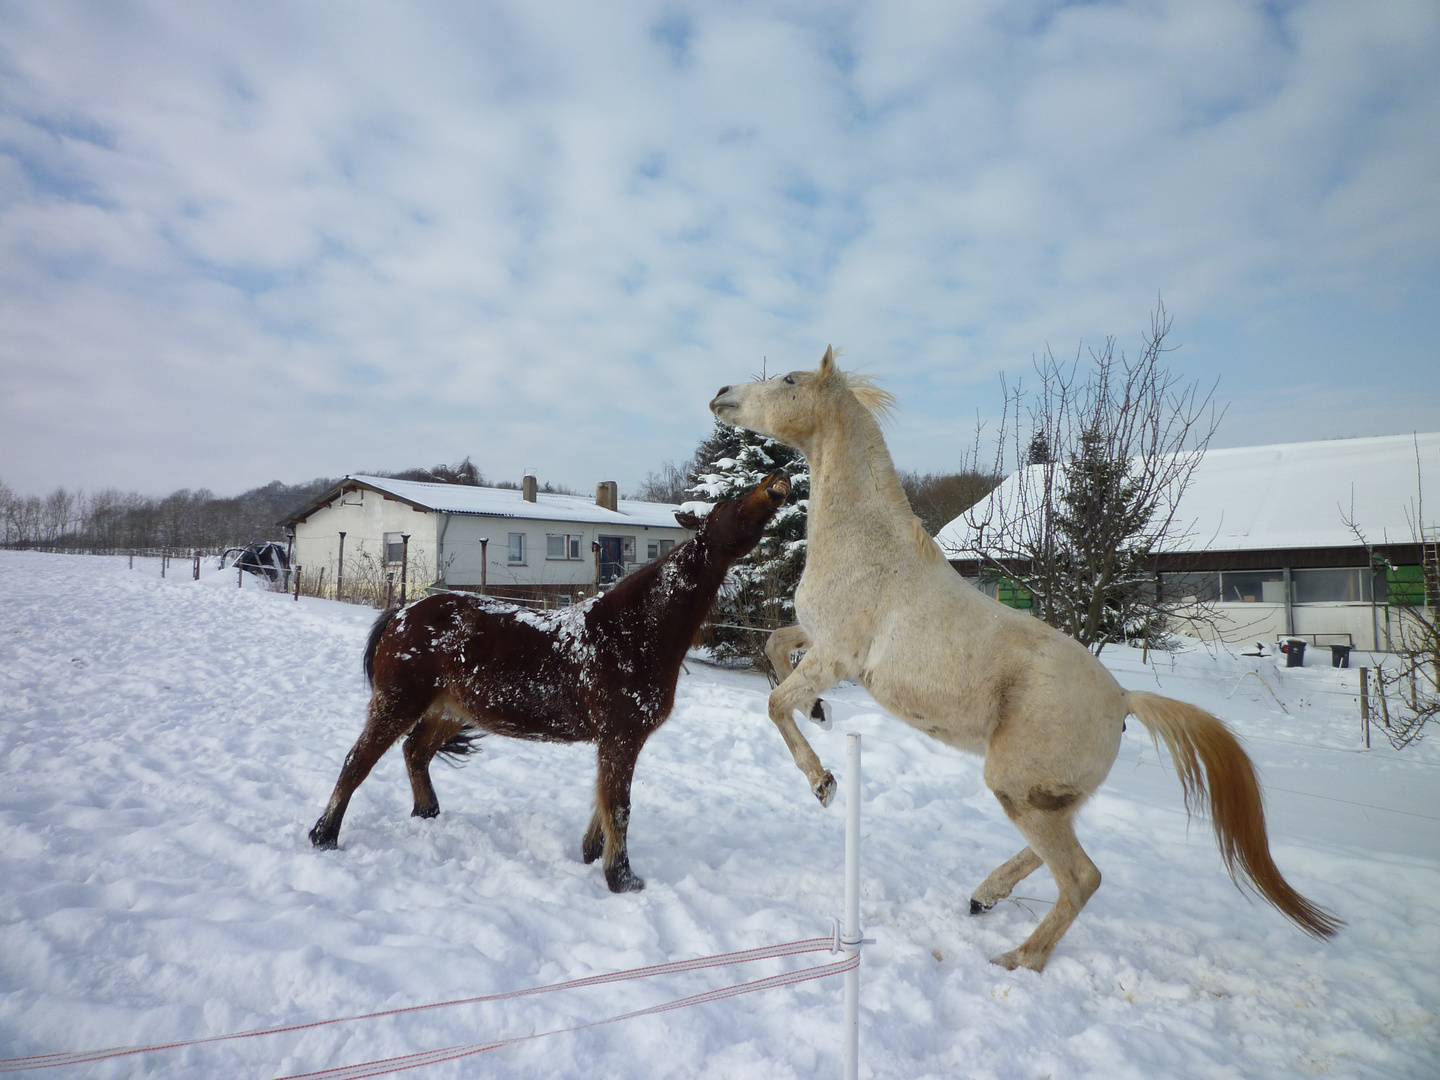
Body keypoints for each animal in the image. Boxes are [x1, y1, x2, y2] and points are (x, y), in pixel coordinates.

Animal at [308, 472, 794, 898]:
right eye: (729, 506)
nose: (777, 481)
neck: (633, 631)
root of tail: (402, 614)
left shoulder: (617, 741)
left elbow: (603, 799)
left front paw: (592, 853)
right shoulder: (621, 736)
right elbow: (619, 806)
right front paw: (621, 879)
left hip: (449, 710)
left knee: (415, 753)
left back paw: (426, 813)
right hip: (398, 704)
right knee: (357, 762)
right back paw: (324, 835)